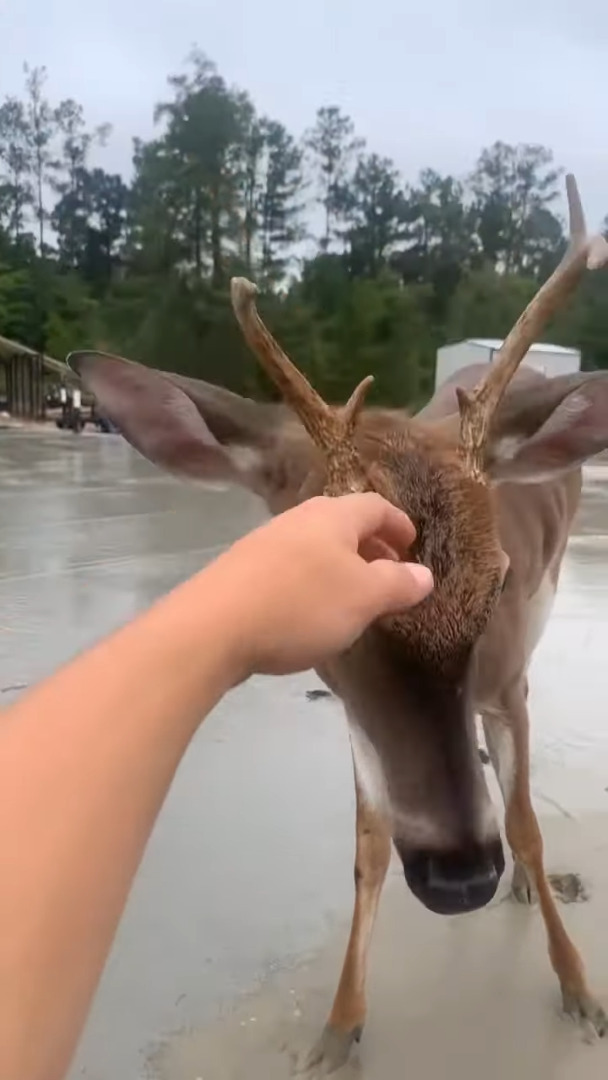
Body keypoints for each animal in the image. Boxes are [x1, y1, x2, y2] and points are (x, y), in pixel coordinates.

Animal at [66, 172, 608, 1075]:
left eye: (498, 578)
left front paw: (579, 989)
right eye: (338, 589)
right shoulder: (358, 717)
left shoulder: (505, 679)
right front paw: (338, 1027)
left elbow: (528, 827)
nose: (460, 877)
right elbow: (368, 848)